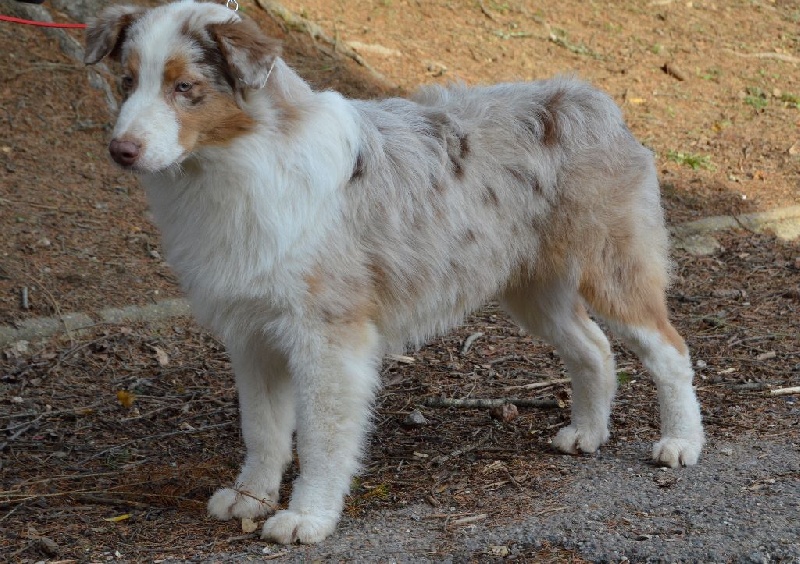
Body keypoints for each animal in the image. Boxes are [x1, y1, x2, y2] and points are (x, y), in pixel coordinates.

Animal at [84, 0, 704, 544]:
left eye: (185, 87)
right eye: (127, 81)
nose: (121, 150)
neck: (238, 162)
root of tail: (590, 95)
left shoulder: (329, 339)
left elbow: (322, 438)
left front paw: (306, 517)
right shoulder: (252, 335)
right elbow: (262, 431)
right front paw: (250, 498)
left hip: (613, 270)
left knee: (670, 350)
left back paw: (680, 442)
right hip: (533, 290)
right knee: (593, 349)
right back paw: (589, 433)